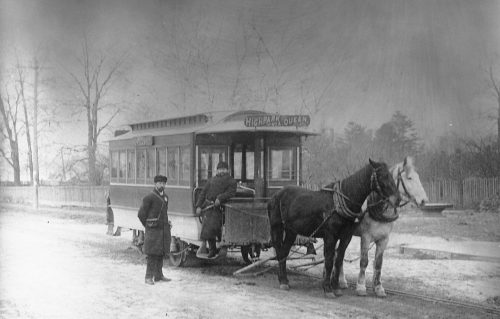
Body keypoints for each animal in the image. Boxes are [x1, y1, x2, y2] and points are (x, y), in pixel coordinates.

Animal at [268, 160, 400, 298]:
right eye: (383, 175)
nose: (398, 199)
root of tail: (276, 195)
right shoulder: (331, 237)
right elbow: (329, 260)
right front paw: (328, 288)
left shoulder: (346, 237)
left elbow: (338, 260)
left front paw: (336, 287)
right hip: (277, 228)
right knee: (280, 251)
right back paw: (283, 281)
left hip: (291, 232)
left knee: (284, 252)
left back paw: (284, 280)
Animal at [338, 156, 428, 298]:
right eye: (409, 178)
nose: (424, 200)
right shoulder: (366, 237)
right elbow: (364, 261)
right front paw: (361, 286)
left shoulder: (384, 239)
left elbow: (378, 263)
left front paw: (378, 287)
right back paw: (341, 280)